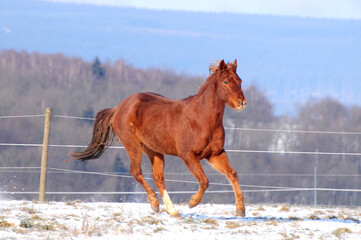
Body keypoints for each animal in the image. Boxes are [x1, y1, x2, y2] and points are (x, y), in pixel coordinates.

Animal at [69, 59, 246, 218]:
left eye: (240, 80)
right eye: (225, 81)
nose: (242, 102)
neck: (201, 118)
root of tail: (119, 108)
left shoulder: (215, 154)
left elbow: (232, 174)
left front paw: (241, 210)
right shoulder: (188, 155)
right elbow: (204, 181)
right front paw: (192, 202)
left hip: (153, 150)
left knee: (158, 178)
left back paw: (173, 212)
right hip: (133, 146)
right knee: (136, 172)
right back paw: (155, 204)